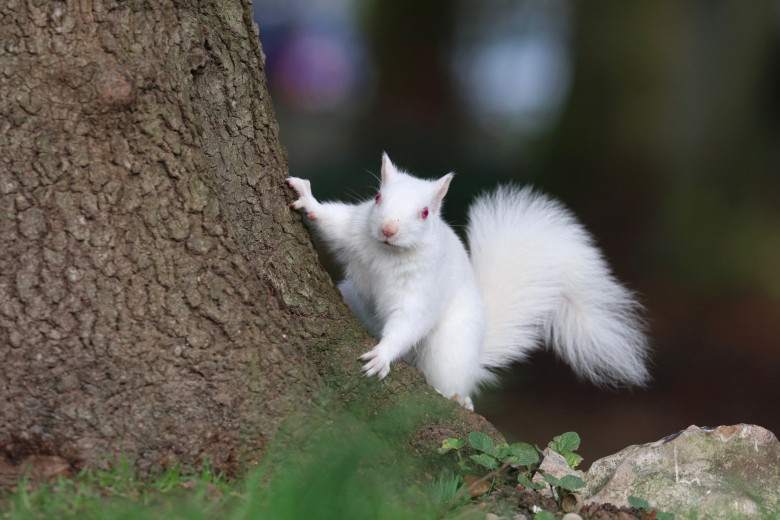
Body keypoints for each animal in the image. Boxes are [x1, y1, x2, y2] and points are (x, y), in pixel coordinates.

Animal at [290, 153, 648, 410]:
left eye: (424, 213)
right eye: (377, 198)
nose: (388, 229)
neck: (388, 252)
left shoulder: (423, 286)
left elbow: (410, 320)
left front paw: (382, 355)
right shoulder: (353, 229)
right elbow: (330, 220)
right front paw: (307, 198)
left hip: (451, 347)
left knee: (448, 378)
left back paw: (458, 398)